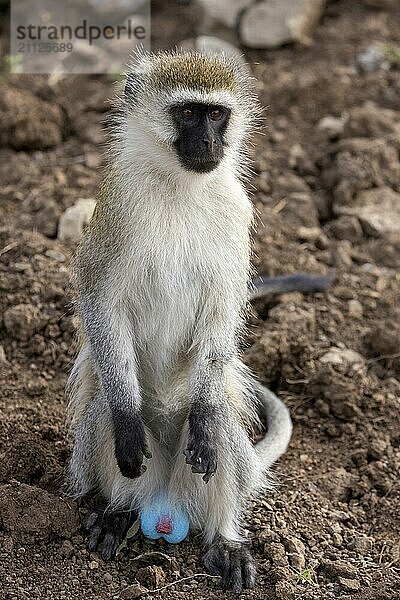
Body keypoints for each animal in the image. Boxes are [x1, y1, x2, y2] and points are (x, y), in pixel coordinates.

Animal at [68, 49, 332, 592]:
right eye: (188, 113)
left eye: (216, 115)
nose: (208, 143)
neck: (179, 186)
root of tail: (167, 497)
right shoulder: (117, 212)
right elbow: (101, 305)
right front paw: (126, 421)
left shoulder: (236, 213)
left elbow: (222, 316)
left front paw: (208, 419)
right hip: (128, 463)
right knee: (108, 414)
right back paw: (119, 510)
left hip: (197, 464)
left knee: (219, 429)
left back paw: (225, 538)